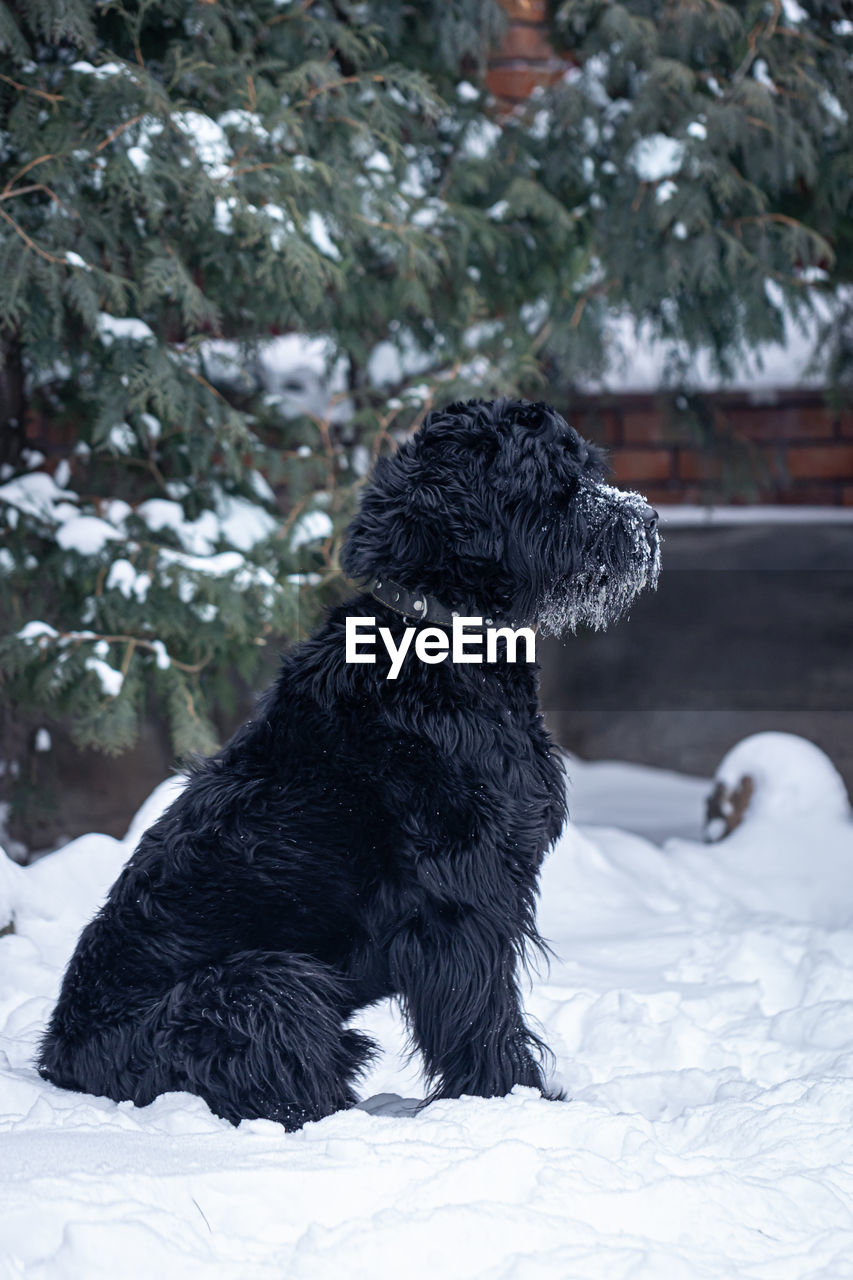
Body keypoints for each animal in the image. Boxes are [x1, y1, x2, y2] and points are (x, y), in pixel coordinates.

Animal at [38, 394, 655, 1126]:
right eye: (553, 479)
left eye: (588, 466)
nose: (646, 522)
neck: (435, 636)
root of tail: (58, 1059)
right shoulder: (460, 897)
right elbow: (483, 1014)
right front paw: (510, 1100)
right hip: (265, 985)